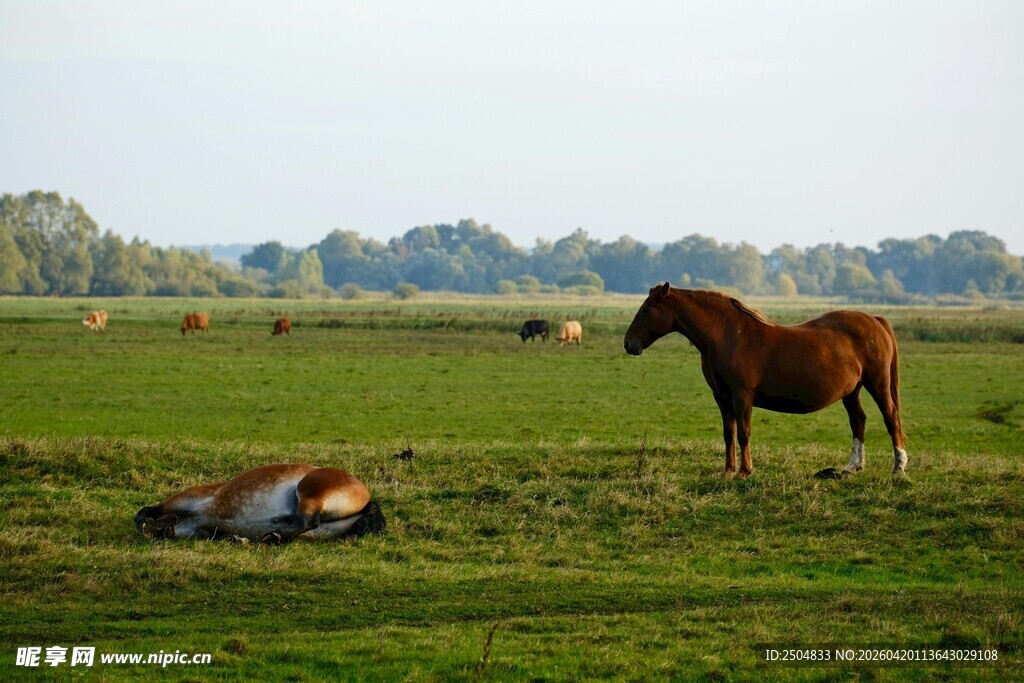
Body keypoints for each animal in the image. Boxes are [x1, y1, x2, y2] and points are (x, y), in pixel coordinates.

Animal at [134, 464, 386, 543]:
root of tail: (366, 495)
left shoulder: (187, 500)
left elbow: (152, 511)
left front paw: (146, 524)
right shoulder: (195, 527)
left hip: (309, 492)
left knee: (305, 520)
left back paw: (271, 537)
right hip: (324, 530)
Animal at [623, 282, 906, 479]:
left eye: (647, 309)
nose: (628, 343)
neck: (729, 335)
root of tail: (875, 320)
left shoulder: (742, 395)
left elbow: (743, 433)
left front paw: (745, 471)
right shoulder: (722, 398)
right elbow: (728, 433)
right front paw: (728, 470)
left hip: (877, 384)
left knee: (891, 418)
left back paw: (898, 468)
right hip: (852, 390)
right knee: (858, 421)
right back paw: (852, 467)